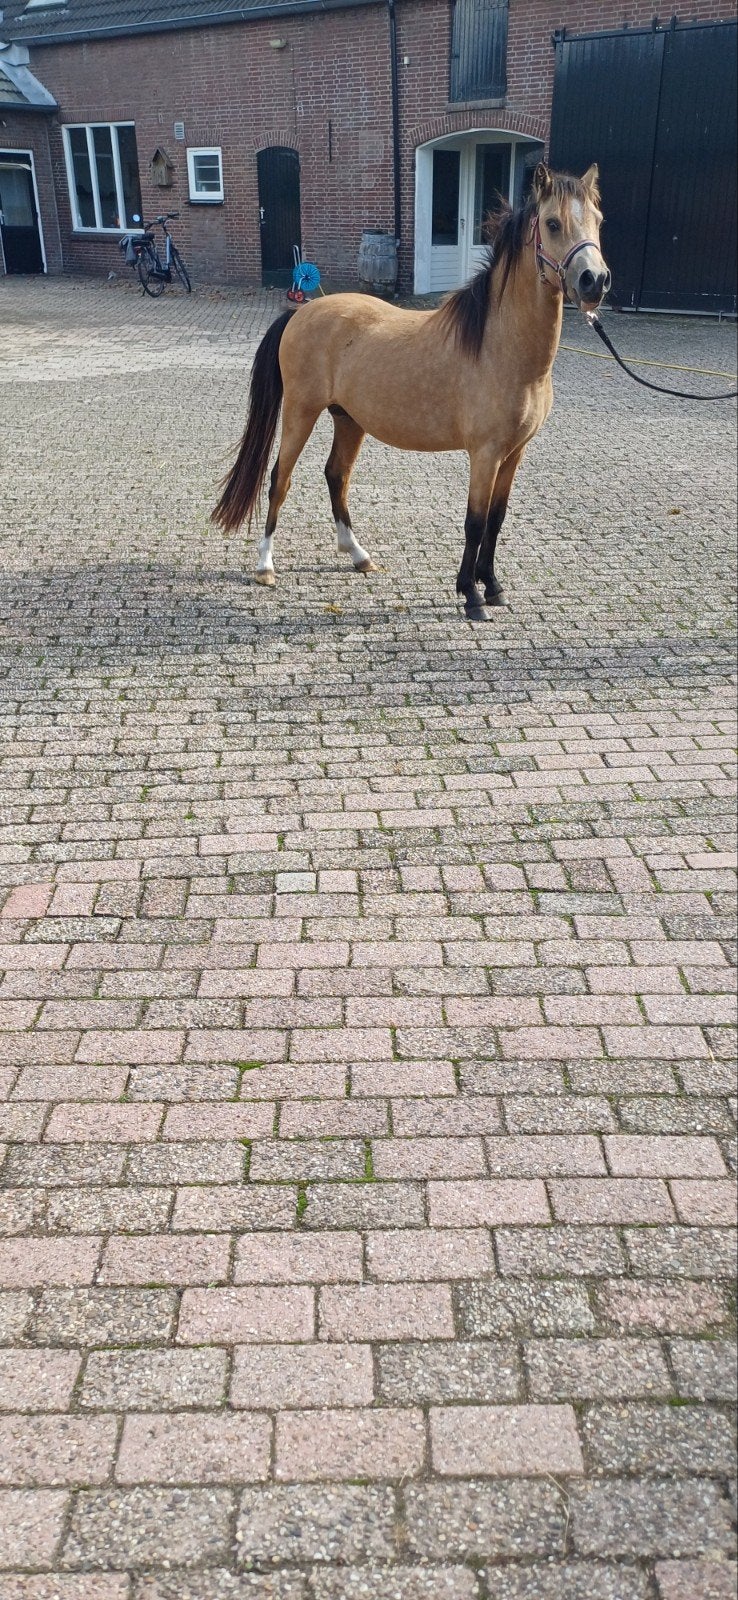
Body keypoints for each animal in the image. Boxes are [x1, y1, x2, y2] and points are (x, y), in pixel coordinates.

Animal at [212, 162, 610, 621]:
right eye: (552, 223)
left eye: (598, 220)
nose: (595, 281)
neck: (500, 347)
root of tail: (301, 311)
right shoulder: (486, 453)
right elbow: (475, 522)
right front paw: (471, 596)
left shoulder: (513, 453)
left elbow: (496, 520)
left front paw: (492, 586)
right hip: (300, 411)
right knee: (281, 478)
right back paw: (265, 566)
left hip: (348, 420)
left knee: (336, 476)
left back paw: (359, 556)